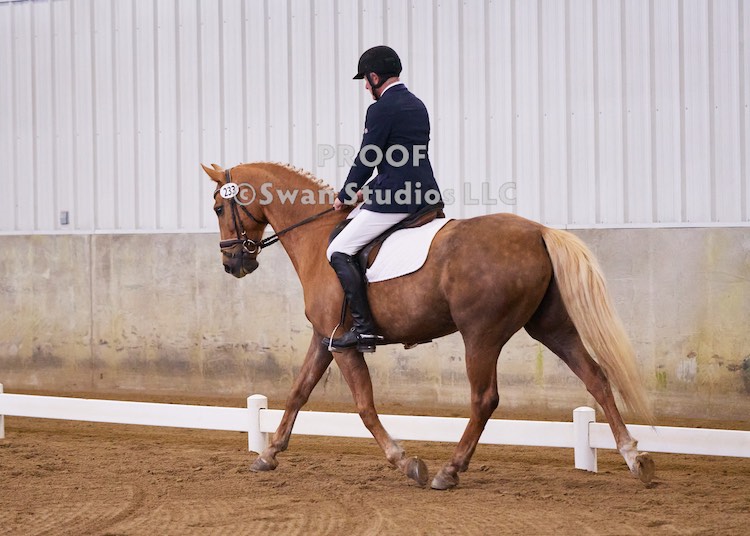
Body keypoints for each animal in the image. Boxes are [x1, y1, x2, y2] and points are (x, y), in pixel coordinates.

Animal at [201, 161, 655, 489]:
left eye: (220, 208)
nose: (232, 263)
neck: (316, 238)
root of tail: (538, 231)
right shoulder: (324, 338)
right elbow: (298, 392)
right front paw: (268, 455)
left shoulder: (344, 344)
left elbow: (364, 406)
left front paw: (406, 462)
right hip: (551, 327)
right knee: (596, 377)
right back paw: (636, 459)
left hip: (481, 335)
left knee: (484, 399)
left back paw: (449, 471)